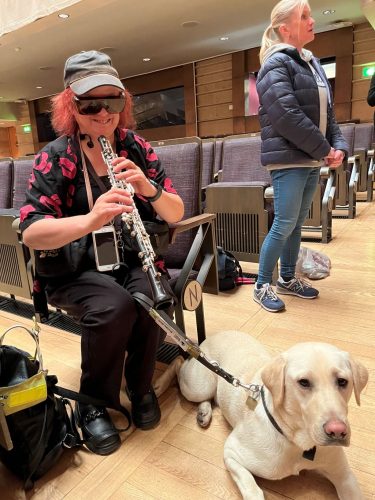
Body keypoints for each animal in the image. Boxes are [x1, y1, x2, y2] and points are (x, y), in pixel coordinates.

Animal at [156, 330, 370, 498]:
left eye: (342, 381)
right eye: (303, 382)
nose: (337, 432)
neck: (296, 441)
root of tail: (205, 341)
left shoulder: (344, 476)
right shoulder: (232, 453)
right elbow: (251, 487)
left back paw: (204, 412)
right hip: (197, 386)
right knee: (178, 362)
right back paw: (159, 385)